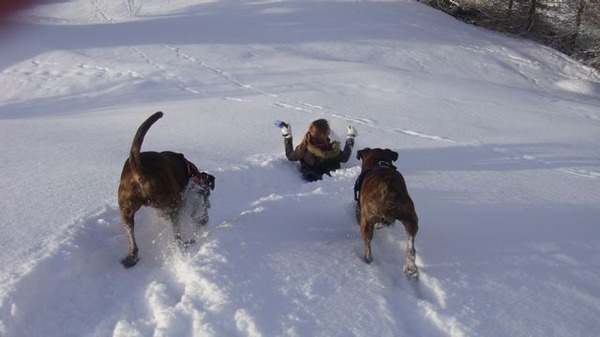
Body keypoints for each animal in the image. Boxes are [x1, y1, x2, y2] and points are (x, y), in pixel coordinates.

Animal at [117, 111, 213, 266]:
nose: (209, 206)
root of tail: (138, 170)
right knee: (177, 235)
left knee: (130, 234)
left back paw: (132, 256)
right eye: (208, 194)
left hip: (126, 211)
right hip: (175, 204)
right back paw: (185, 242)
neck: (189, 170)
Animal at [354, 147, 420, 276]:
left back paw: (368, 260)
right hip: (410, 218)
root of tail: (389, 186)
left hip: (367, 221)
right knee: (411, 246)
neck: (379, 162)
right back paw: (411, 267)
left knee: (368, 245)